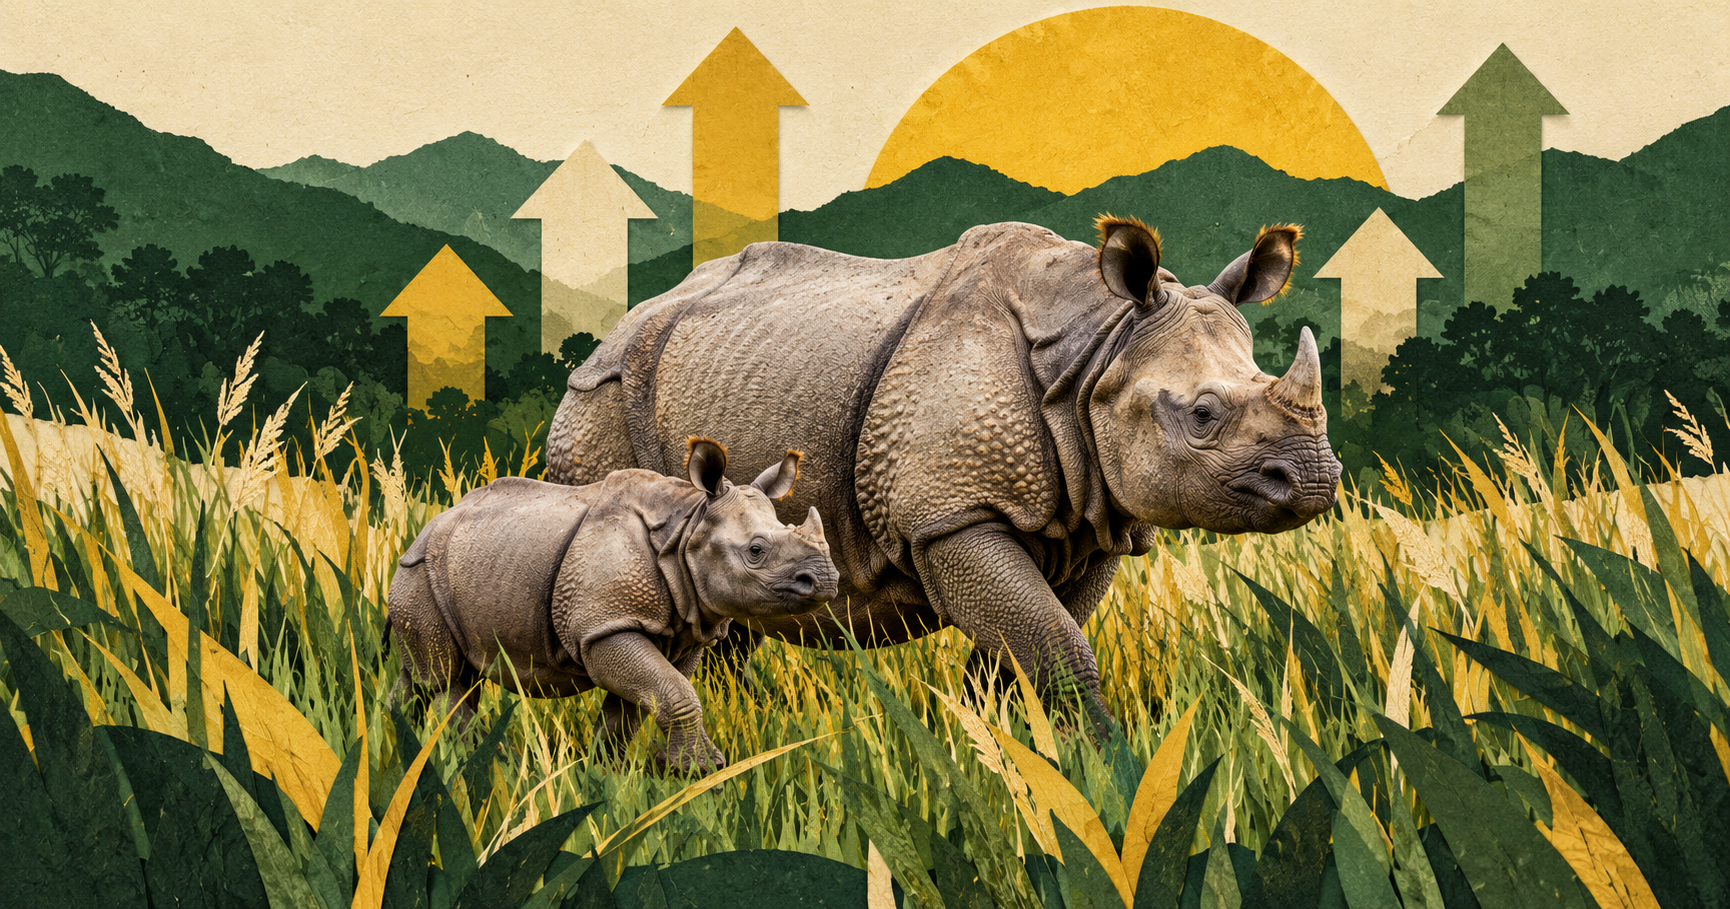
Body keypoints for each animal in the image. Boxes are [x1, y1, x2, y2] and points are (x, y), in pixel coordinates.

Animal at [388, 438, 838, 771]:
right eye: (756, 551)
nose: (827, 579)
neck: (688, 527)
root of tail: (420, 533)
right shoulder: (604, 626)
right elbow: (677, 695)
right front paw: (699, 770)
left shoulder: (680, 632)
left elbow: (641, 705)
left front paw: (609, 773)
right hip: (420, 574)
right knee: (447, 681)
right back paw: (494, 765)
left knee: (425, 677)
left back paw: (402, 738)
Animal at [543, 217, 1341, 731]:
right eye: (1203, 413)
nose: (1313, 479)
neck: (1098, 348)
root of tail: (616, 328)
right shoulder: (949, 516)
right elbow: (1057, 650)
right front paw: (1103, 765)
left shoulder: (1095, 522)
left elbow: (1020, 657)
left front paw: (1008, 751)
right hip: (602, 398)